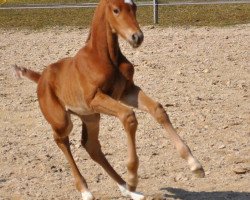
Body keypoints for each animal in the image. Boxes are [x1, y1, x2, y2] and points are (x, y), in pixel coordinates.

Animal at [14, 0, 204, 200]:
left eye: (134, 7)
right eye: (116, 10)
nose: (137, 37)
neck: (105, 57)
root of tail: (41, 77)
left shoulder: (127, 92)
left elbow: (157, 110)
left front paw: (195, 165)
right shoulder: (95, 99)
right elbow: (128, 117)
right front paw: (133, 177)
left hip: (91, 117)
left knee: (91, 146)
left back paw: (128, 189)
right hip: (63, 120)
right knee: (61, 140)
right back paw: (86, 190)